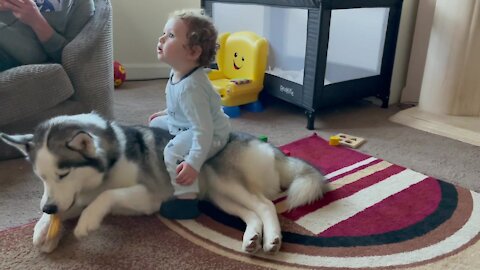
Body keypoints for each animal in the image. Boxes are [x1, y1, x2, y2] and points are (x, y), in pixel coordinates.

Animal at [0, 112, 326, 253]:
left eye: (63, 173)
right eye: (40, 177)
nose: (50, 208)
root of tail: (272, 148)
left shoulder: (149, 196)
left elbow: (105, 197)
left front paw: (86, 222)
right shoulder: (70, 197)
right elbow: (63, 208)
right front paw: (44, 228)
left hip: (225, 180)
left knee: (266, 205)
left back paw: (272, 239)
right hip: (221, 195)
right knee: (251, 212)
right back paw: (252, 237)